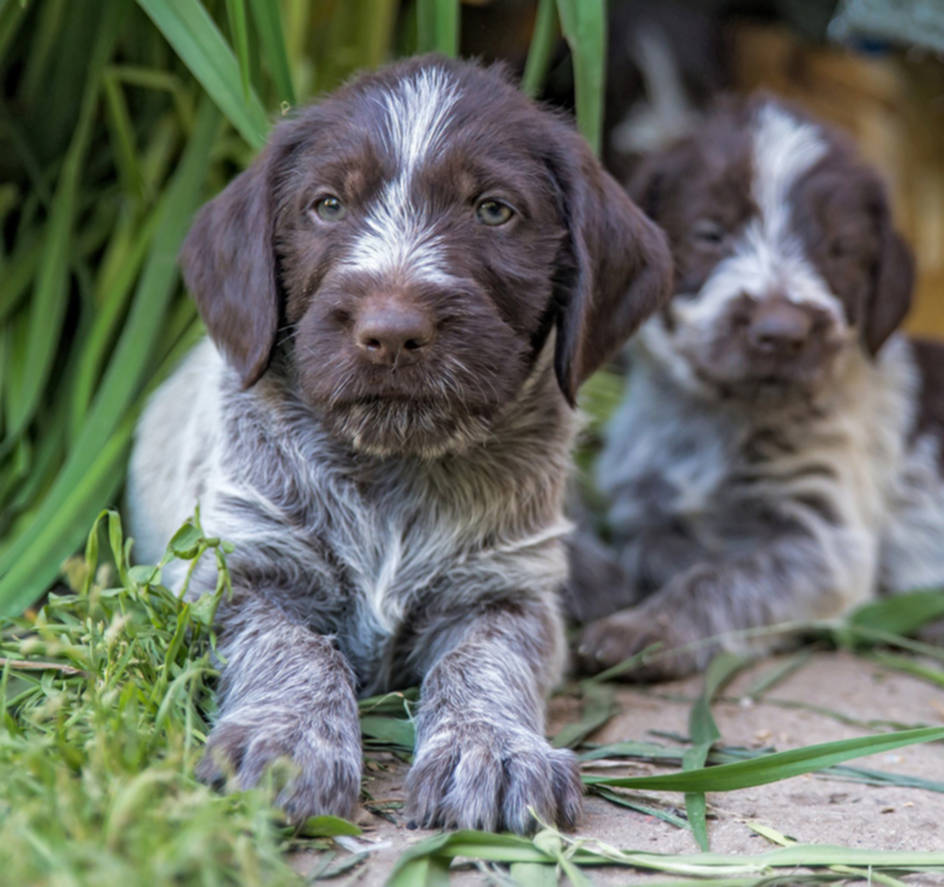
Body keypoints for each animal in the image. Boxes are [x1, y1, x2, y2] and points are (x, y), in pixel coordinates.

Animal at [125, 55, 672, 832]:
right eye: (327, 205)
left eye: (494, 210)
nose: (390, 331)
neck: (394, 468)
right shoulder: (233, 573)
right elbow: (297, 649)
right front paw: (287, 742)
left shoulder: (507, 590)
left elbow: (485, 662)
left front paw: (491, 750)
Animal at [572, 95, 944, 680]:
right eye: (709, 233)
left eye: (840, 249)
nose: (782, 332)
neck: (719, 420)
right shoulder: (647, 505)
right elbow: (665, 550)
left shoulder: (821, 540)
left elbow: (724, 577)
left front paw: (649, 630)